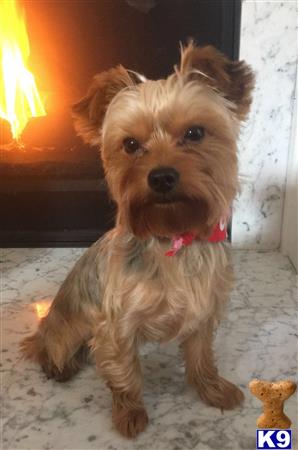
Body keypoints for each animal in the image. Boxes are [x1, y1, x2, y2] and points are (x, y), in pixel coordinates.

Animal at [21, 44, 254, 438]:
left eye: (195, 132)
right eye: (130, 144)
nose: (161, 177)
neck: (173, 237)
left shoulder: (204, 309)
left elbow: (201, 356)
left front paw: (212, 389)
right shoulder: (116, 326)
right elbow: (126, 374)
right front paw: (129, 413)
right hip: (66, 324)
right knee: (48, 345)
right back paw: (58, 364)